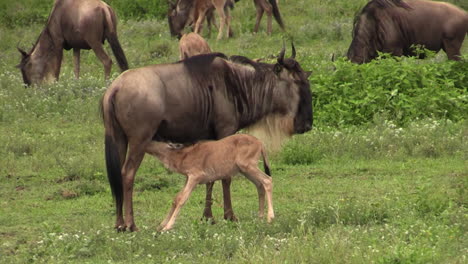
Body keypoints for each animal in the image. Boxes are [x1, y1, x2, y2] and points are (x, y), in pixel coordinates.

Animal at [144, 134, 272, 231]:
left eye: (157, 137)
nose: (145, 142)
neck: (184, 155)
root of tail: (260, 143)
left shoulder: (195, 177)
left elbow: (182, 199)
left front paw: (168, 227)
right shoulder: (188, 178)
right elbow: (176, 198)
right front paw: (161, 225)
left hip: (248, 166)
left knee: (267, 180)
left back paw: (270, 217)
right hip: (245, 170)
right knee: (260, 185)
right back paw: (260, 218)